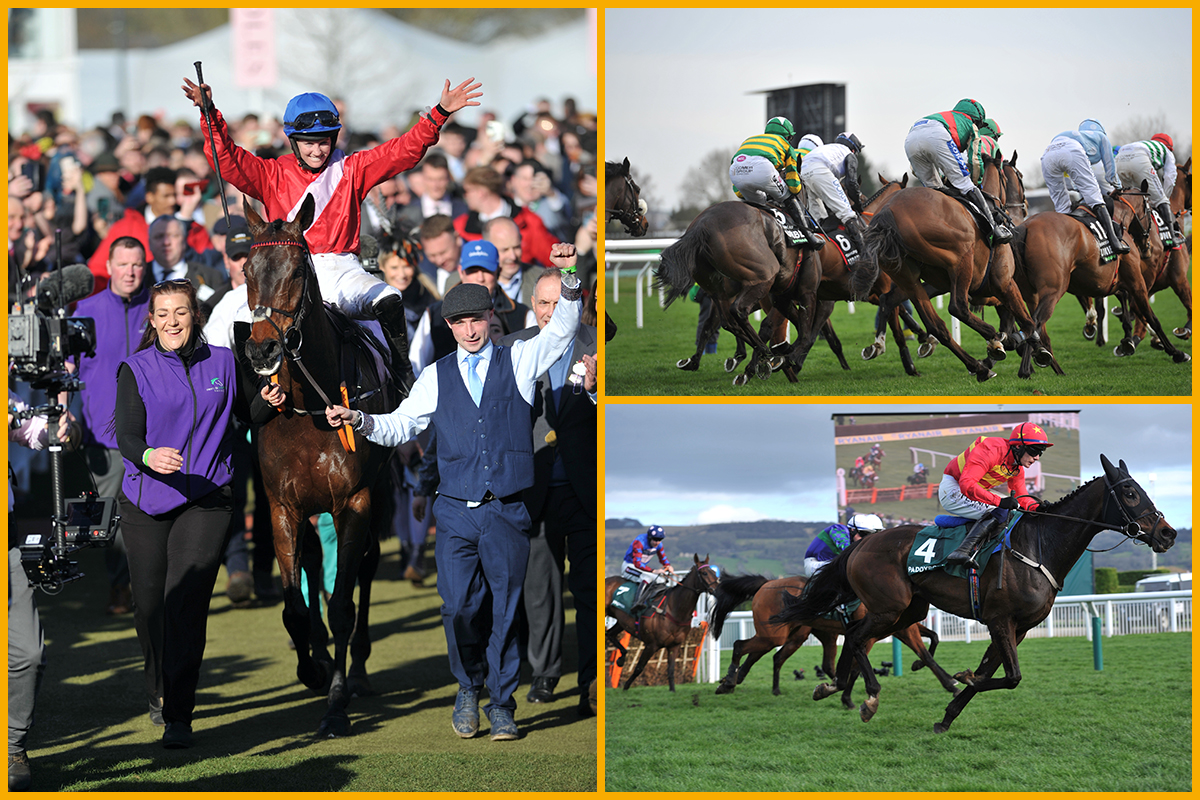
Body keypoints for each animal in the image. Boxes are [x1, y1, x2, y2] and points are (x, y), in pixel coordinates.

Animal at [241, 195, 400, 738]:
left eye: (294, 271)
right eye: (246, 271)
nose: (262, 349)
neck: (310, 406)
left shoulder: (354, 501)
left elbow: (341, 605)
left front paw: (336, 702)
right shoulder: (281, 506)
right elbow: (294, 605)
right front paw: (311, 670)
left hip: (381, 491)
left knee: (367, 567)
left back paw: (359, 670)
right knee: (311, 563)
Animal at [705, 575, 950, 705]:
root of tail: (767, 584)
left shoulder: (903, 627)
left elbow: (932, 641)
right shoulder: (873, 633)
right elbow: (857, 667)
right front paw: (848, 697)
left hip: (795, 634)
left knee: (772, 656)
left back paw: (740, 682)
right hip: (774, 634)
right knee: (741, 646)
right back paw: (730, 680)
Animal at [772, 455, 1176, 734]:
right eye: (1130, 492)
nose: (1168, 533)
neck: (1039, 546)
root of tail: (862, 543)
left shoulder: (1019, 627)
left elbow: (991, 672)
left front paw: (948, 714)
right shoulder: (1000, 619)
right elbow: (1010, 677)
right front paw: (962, 679)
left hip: (909, 611)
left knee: (861, 639)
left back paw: (833, 686)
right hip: (888, 606)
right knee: (856, 638)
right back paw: (867, 697)